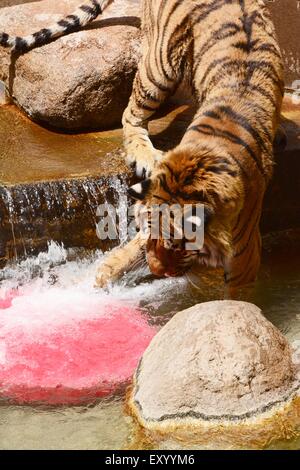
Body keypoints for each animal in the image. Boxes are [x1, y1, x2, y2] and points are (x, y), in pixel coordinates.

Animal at [0, 0, 284, 294]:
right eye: (146, 230)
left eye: (176, 245)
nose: (156, 271)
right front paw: (103, 275)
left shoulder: (244, 259)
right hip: (160, 65)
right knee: (131, 113)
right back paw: (145, 156)